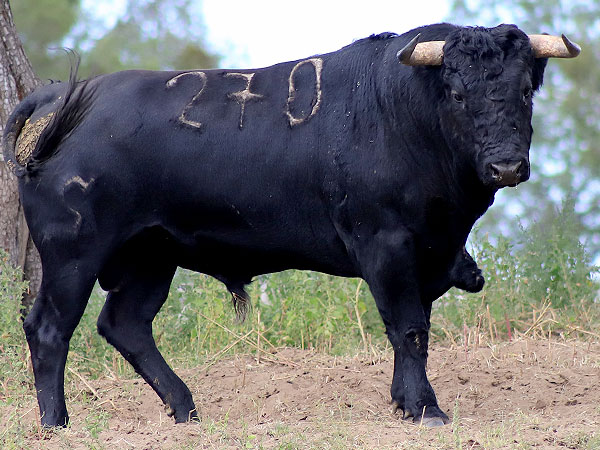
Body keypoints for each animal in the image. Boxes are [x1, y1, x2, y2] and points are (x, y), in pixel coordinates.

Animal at [2, 22, 580, 428]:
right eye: (460, 95)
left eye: (525, 90)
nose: (506, 166)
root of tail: (64, 96)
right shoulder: (386, 243)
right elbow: (408, 327)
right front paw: (425, 409)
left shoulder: (428, 253)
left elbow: (412, 328)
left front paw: (403, 402)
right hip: (73, 252)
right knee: (50, 328)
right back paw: (57, 422)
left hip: (150, 254)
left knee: (125, 324)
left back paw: (187, 410)